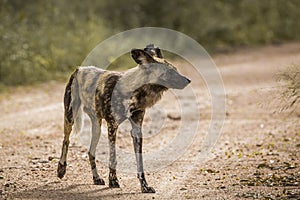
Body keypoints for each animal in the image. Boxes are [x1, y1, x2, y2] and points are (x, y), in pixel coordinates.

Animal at [57, 44, 191, 193]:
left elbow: (140, 162)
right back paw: (61, 169)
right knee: (66, 140)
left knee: (91, 152)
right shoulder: (112, 126)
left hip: (97, 127)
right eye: (169, 72)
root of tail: (79, 68)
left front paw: (144, 186)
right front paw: (113, 180)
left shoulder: (137, 129)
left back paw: (96, 178)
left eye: (176, 70)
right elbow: (113, 158)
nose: (188, 80)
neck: (135, 92)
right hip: (70, 116)